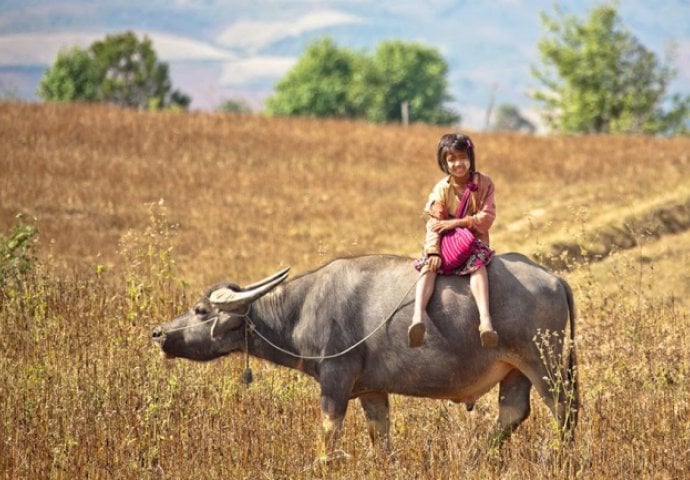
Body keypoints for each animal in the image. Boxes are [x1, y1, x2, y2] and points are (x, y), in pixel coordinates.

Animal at [150, 253, 576, 456]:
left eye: (201, 310)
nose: (158, 333)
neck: (303, 308)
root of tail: (554, 278)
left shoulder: (335, 382)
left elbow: (327, 436)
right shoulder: (373, 391)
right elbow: (380, 438)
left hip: (546, 365)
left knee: (564, 412)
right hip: (514, 370)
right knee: (513, 412)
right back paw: (476, 459)